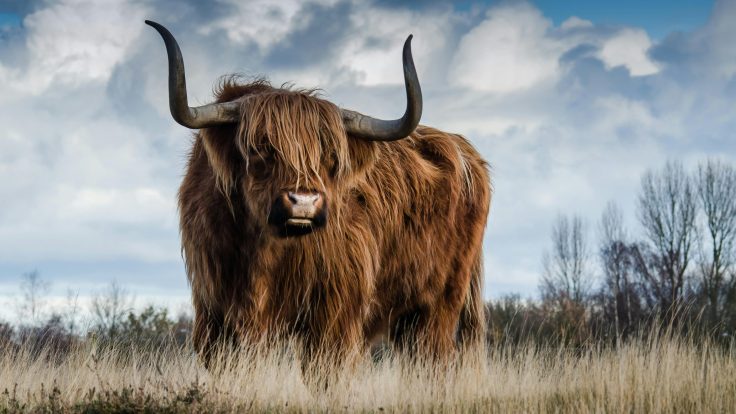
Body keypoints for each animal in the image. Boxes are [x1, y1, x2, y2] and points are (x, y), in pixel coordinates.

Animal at [145, 19, 488, 362]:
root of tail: (465, 150)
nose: (304, 201)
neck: (262, 252)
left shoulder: (334, 314)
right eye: (260, 149)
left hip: (439, 304)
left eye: (331, 157)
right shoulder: (214, 311)